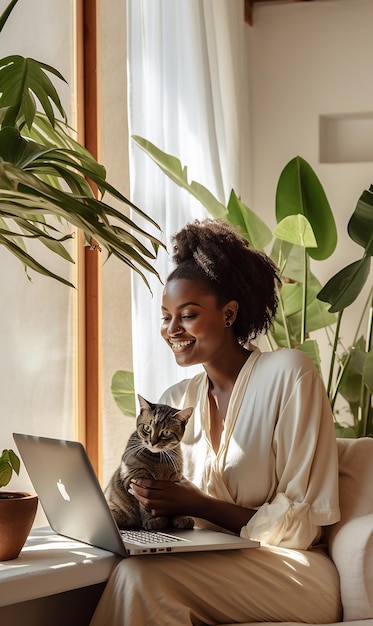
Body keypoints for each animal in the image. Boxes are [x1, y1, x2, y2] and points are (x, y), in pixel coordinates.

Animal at [103, 394, 193, 528]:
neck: (159, 460)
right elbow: (145, 506)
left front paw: (181, 517)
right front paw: (153, 520)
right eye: (147, 428)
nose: (153, 442)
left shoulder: (176, 480)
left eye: (166, 432)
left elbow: (178, 503)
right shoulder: (135, 477)